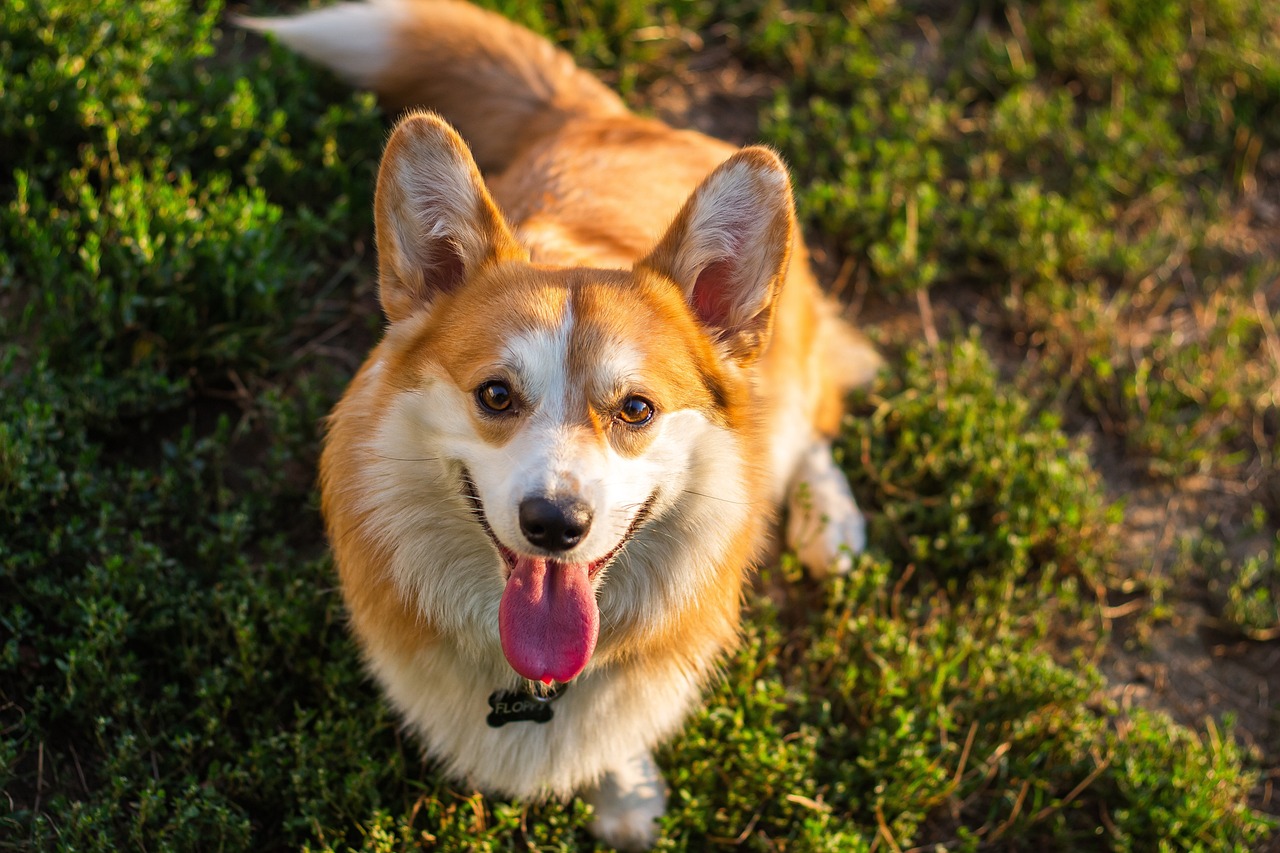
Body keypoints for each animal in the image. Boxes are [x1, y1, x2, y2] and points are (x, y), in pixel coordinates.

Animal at [240, 1, 880, 845]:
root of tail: (601, 116)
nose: (554, 524)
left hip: (781, 385)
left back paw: (829, 526)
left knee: (812, 421)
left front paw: (626, 794)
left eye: (637, 409)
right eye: (495, 395)